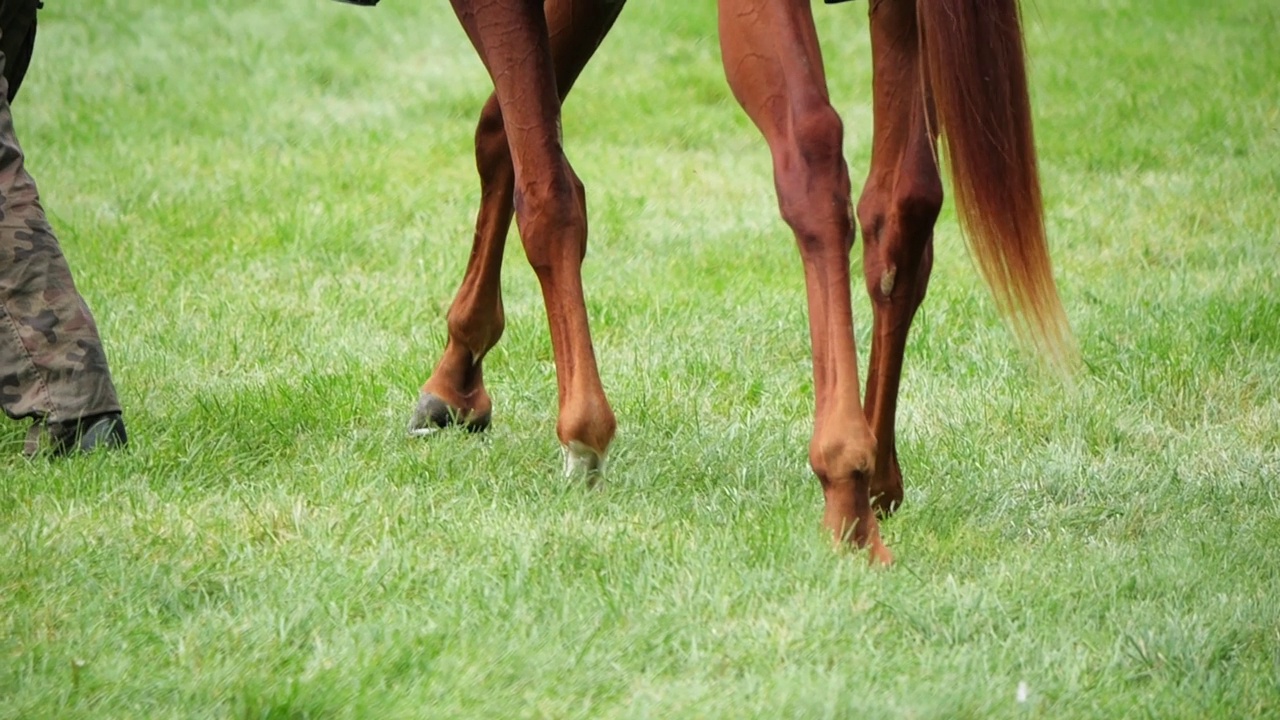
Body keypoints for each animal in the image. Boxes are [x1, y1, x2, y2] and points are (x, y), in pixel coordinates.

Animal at [404, 0, 1075, 561]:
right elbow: (504, 137)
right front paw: (458, 374)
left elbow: (545, 192)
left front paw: (580, 434)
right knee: (903, 204)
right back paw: (879, 481)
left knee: (812, 157)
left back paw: (847, 494)